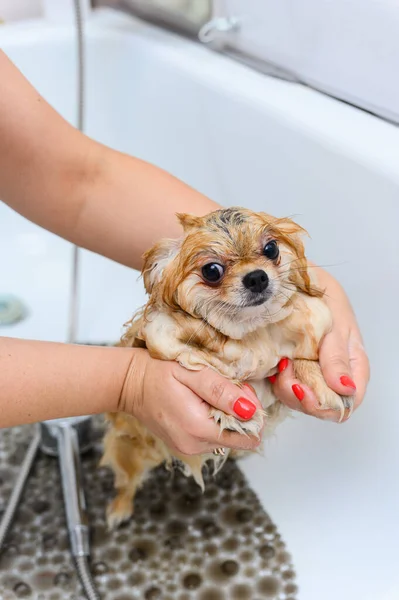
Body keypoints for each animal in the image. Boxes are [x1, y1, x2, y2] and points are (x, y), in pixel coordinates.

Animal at [101, 209, 354, 528]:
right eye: (212, 271)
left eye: (271, 249)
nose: (257, 277)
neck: (252, 335)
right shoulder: (159, 336)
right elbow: (205, 365)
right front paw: (232, 410)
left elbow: (299, 356)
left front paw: (321, 380)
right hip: (129, 450)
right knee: (127, 483)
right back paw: (119, 510)